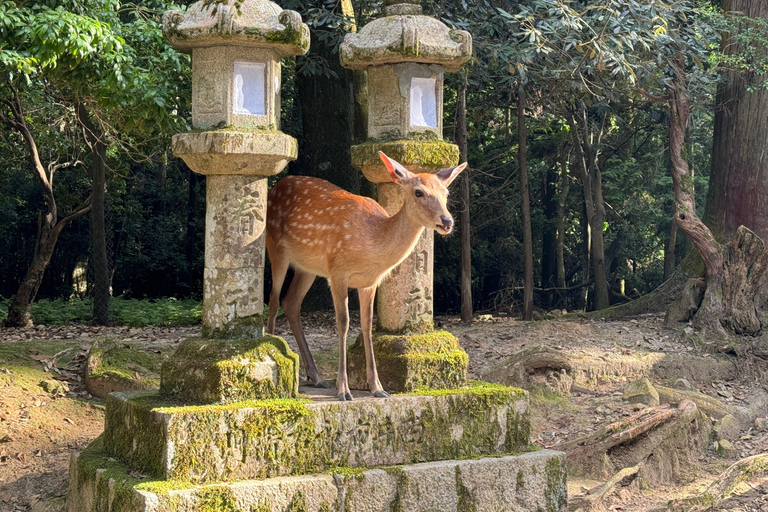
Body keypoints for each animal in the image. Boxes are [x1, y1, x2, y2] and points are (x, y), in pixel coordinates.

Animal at [264, 152, 468, 400]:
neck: (371, 243)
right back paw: (276, 355)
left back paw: (317, 377)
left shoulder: (369, 282)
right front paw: (343, 389)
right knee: (274, 300)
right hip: (275, 248)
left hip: (308, 268)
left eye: (446, 193)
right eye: (419, 192)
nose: (447, 221)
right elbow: (343, 323)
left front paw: (377, 387)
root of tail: (274, 188)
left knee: (291, 302)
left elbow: (367, 325)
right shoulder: (337, 272)